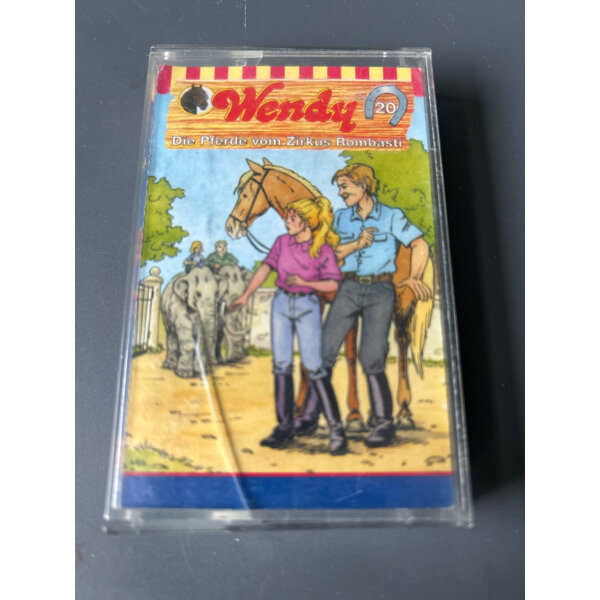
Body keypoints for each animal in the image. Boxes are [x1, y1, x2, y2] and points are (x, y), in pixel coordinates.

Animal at [225, 158, 435, 431]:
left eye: (246, 193)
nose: (231, 227)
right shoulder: (322, 303)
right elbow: (314, 355)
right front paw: (303, 411)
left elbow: (349, 355)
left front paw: (353, 416)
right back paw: (375, 415)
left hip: (403, 303)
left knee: (401, 343)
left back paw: (403, 411)